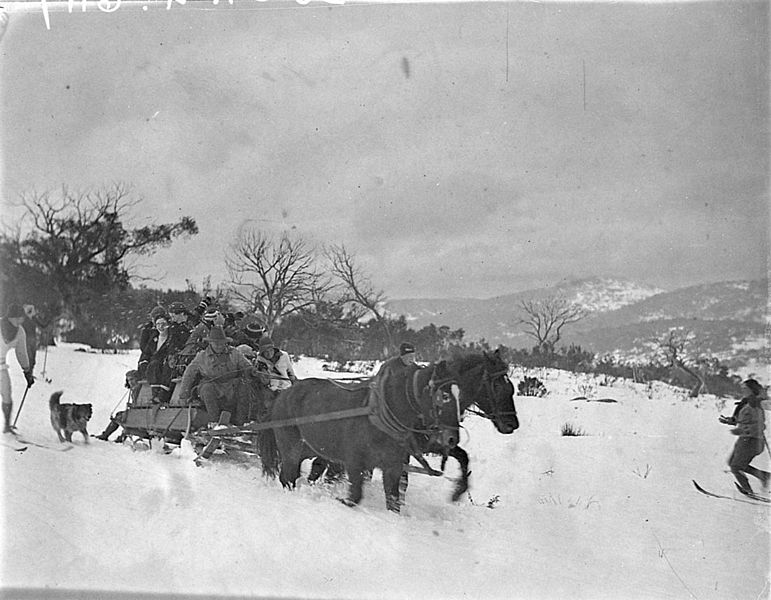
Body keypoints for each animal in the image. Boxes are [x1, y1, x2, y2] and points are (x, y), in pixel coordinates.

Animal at [260, 360, 464, 510]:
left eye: (459, 396)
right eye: (444, 396)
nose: (452, 439)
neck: (379, 416)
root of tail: (283, 395)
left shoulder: (393, 467)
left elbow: (393, 501)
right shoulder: (354, 462)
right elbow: (355, 496)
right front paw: (340, 500)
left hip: (308, 447)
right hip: (290, 447)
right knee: (288, 477)